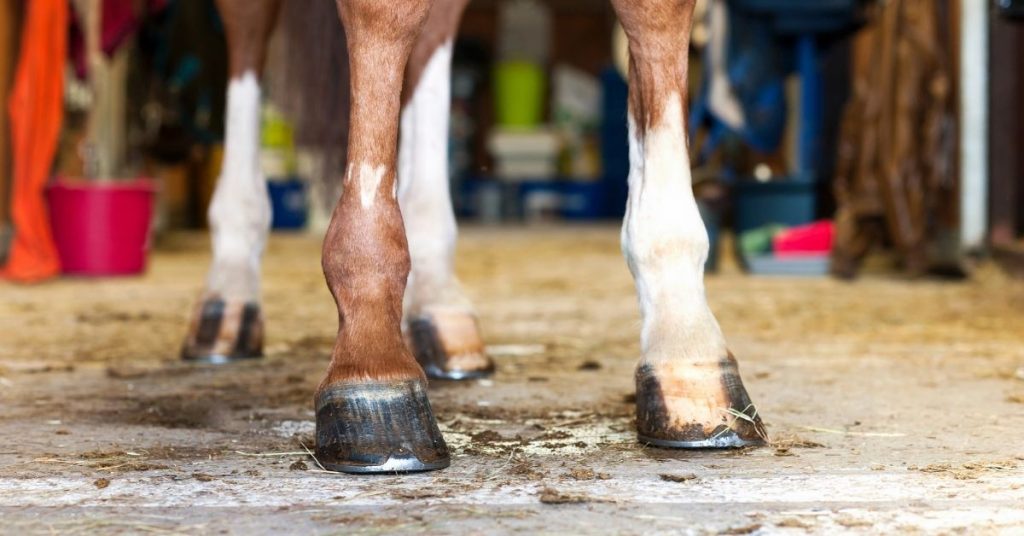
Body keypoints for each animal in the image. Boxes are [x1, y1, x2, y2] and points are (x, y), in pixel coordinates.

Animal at [180, 0, 766, 473]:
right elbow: (383, 16)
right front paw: (374, 371)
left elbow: (655, 16)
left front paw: (688, 355)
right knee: (249, 27)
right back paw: (227, 303)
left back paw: (440, 310)